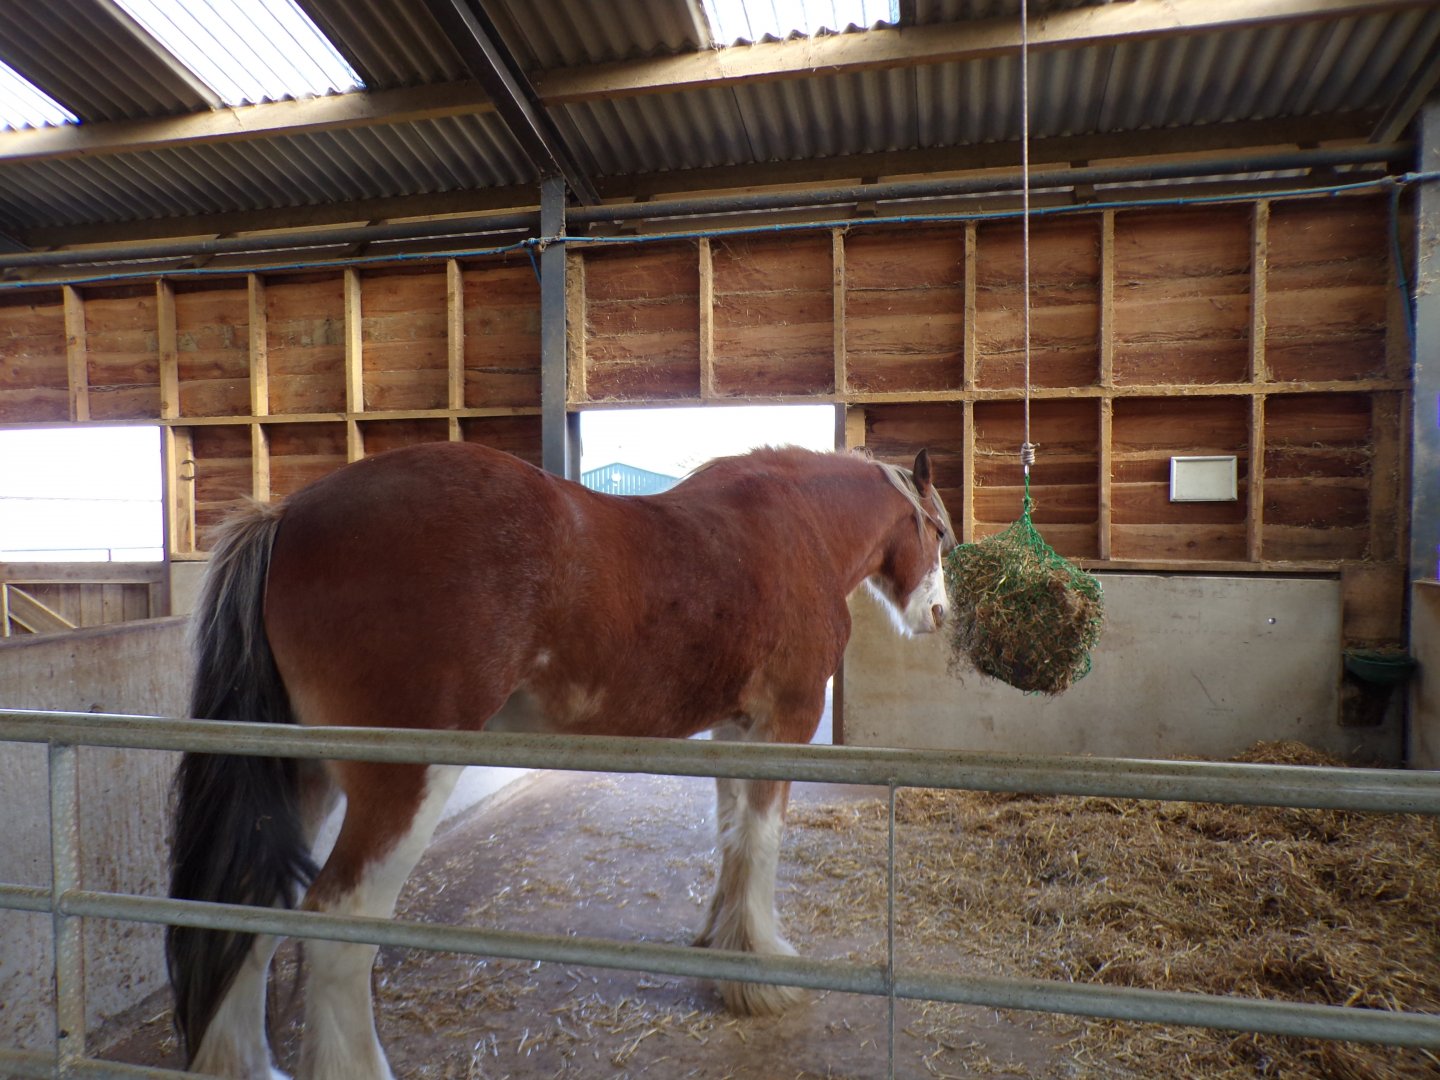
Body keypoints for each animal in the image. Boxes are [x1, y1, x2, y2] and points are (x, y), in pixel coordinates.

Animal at [167, 439, 957, 1080]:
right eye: (940, 531)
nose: (939, 616)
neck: (792, 530)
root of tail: (289, 515)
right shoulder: (784, 722)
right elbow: (760, 842)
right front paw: (762, 971)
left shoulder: (739, 730)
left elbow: (732, 834)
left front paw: (724, 944)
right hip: (404, 783)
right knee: (340, 927)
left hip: (301, 776)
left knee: (247, 905)